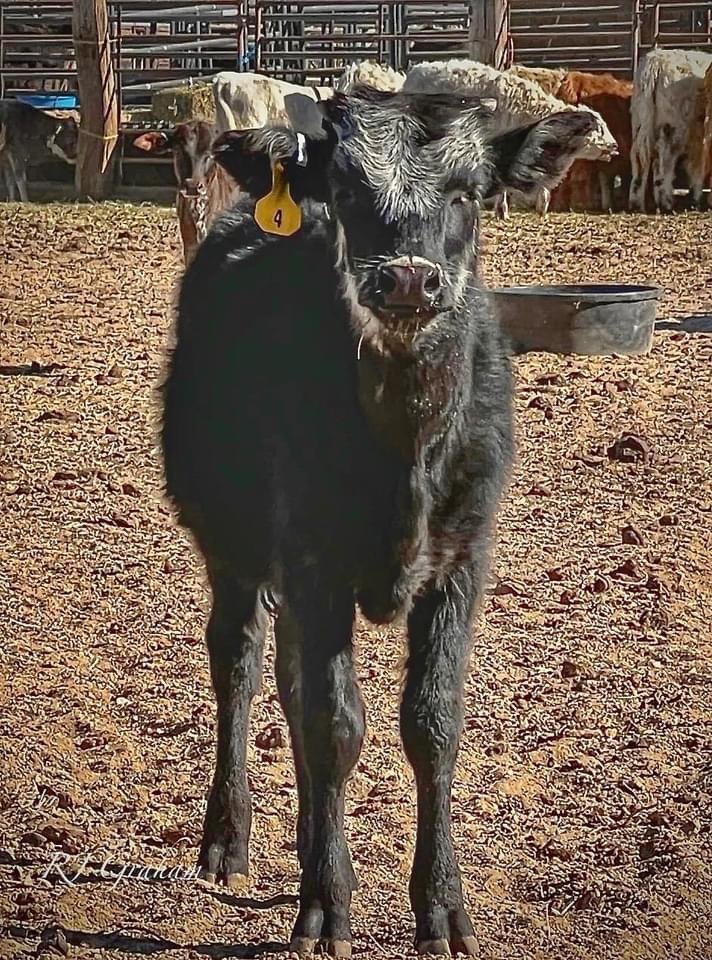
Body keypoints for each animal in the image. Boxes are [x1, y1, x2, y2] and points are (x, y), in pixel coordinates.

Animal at [161, 87, 598, 956]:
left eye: (467, 194)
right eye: (347, 193)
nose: (406, 280)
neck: (405, 447)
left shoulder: (462, 560)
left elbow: (431, 725)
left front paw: (442, 907)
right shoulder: (314, 559)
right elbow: (335, 724)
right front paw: (327, 904)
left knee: (289, 677)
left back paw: (303, 836)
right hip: (230, 537)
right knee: (240, 662)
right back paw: (228, 837)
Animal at [629, 48, 712, 212]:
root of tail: (657, 60)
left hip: (641, 125)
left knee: (641, 159)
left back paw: (637, 203)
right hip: (672, 130)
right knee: (666, 159)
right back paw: (666, 202)